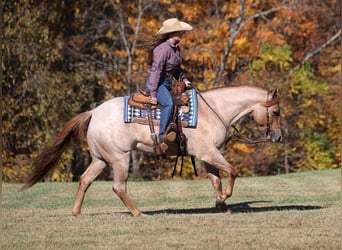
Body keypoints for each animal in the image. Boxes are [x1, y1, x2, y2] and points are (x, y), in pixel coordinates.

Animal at [22, 85, 282, 217]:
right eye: (277, 111)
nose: (278, 137)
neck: (214, 110)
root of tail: (94, 112)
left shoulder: (208, 156)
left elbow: (216, 180)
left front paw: (221, 205)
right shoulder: (208, 153)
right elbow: (233, 171)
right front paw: (224, 198)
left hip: (100, 160)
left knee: (85, 180)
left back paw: (76, 212)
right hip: (119, 159)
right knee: (118, 187)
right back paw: (139, 213)